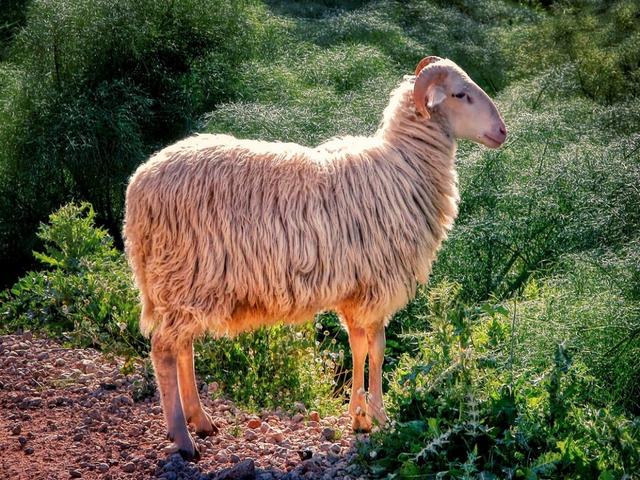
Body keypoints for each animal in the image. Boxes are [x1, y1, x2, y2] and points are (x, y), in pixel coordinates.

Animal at [124, 56, 507, 460]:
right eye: (461, 94)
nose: (502, 131)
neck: (404, 166)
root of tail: (138, 186)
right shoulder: (378, 285)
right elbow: (378, 350)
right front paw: (380, 417)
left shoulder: (355, 290)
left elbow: (358, 348)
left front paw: (359, 417)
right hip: (183, 274)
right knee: (164, 350)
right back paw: (183, 438)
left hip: (183, 286)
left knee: (182, 346)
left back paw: (200, 420)